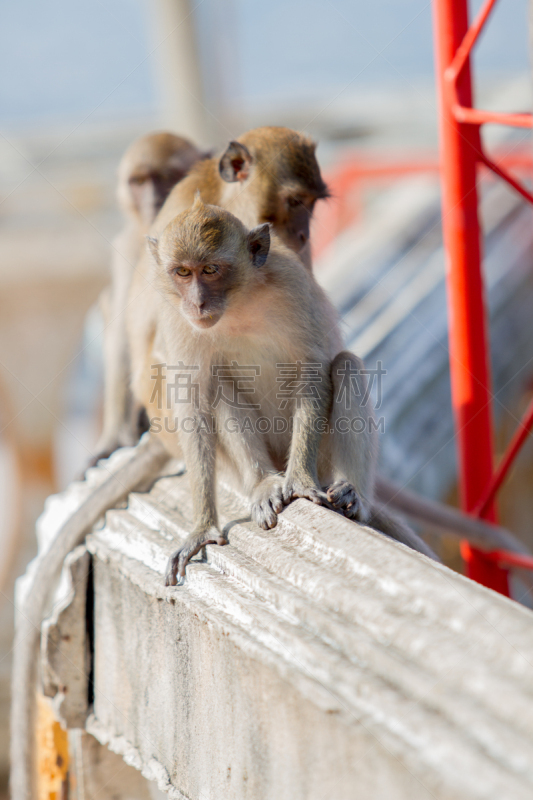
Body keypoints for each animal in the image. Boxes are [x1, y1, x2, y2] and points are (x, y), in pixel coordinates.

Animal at [91, 132, 208, 466]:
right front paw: (113, 437)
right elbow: (122, 334)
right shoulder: (128, 246)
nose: (155, 200)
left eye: (170, 176)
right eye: (140, 181)